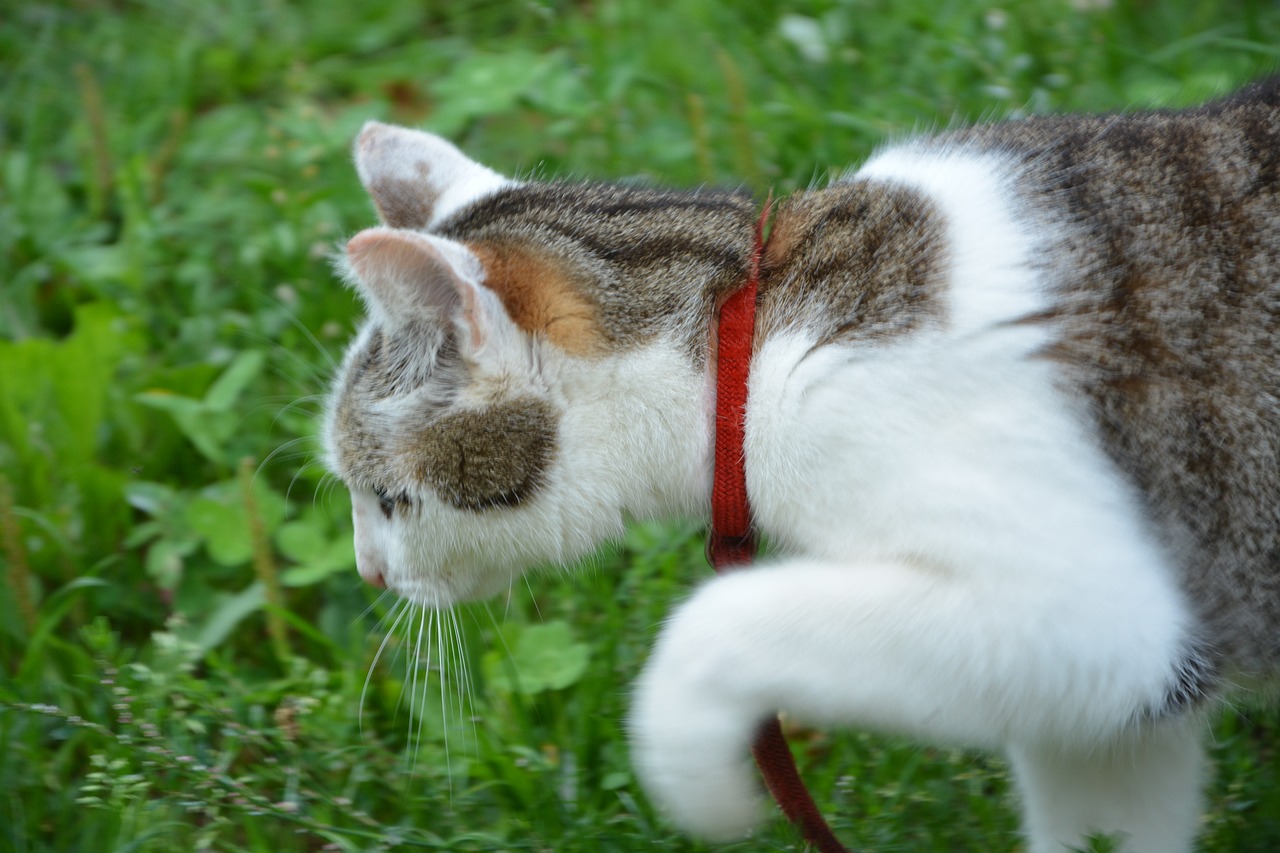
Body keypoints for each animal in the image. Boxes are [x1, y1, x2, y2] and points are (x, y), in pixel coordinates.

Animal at [322, 76, 1280, 845]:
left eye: (391, 498)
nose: (369, 573)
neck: (753, 329)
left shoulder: (1096, 609)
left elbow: (715, 624)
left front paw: (697, 774)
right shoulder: (1127, 698)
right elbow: (1106, 803)